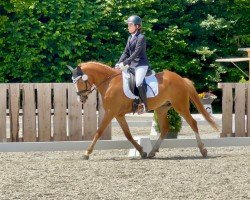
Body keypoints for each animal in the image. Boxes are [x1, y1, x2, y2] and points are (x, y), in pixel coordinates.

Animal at [67, 61, 218, 160]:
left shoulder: (111, 112)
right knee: (165, 128)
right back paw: (152, 152)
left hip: (180, 105)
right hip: (162, 108)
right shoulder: (118, 114)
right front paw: (141, 152)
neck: (109, 83)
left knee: (193, 123)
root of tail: (181, 79)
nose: (81, 99)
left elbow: (99, 132)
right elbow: (127, 134)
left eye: (80, 81)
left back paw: (203, 150)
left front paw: (86, 153)